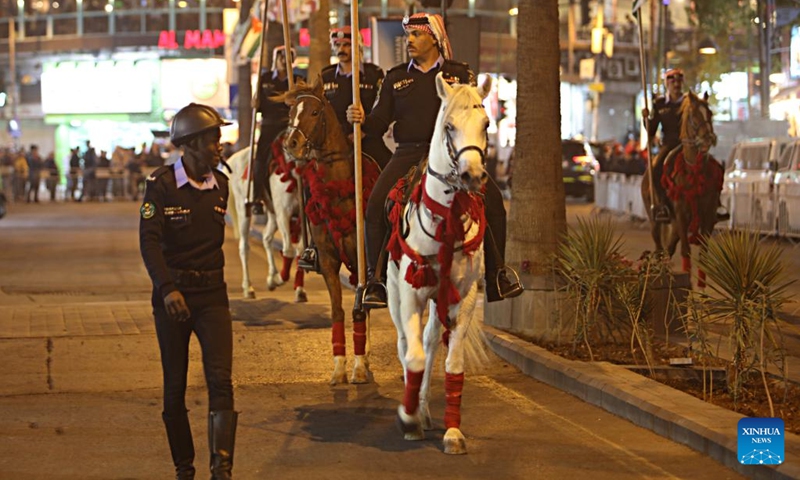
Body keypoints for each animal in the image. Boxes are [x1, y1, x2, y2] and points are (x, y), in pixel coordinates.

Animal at [228, 144, 310, 302]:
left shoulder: (306, 219)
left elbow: (301, 251)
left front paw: (299, 290)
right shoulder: (284, 212)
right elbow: (289, 250)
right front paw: (279, 279)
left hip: (272, 213)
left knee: (266, 237)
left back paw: (271, 277)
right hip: (244, 209)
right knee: (244, 246)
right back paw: (248, 288)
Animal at [282, 79, 382, 386]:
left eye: (315, 112)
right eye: (291, 112)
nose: (291, 144)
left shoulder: (364, 259)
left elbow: (360, 307)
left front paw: (359, 367)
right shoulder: (327, 259)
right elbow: (339, 310)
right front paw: (340, 368)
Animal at [386, 73, 490, 456]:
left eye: (486, 123)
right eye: (449, 126)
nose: (473, 175)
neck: (446, 220)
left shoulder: (465, 296)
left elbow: (452, 364)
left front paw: (453, 432)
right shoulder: (410, 293)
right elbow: (412, 357)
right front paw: (407, 418)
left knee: (430, 342)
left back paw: (426, 411)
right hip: (394, 295)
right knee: (407, 345)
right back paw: (414, 411)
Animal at [640, 91, 720, 286]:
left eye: (710, 113)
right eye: (692, 116)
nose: (708, 139)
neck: (694, 171)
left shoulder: (708, 216)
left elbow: (703, 255)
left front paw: (701, 291)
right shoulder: (682, 215)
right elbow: (686, 251)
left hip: (675, 225)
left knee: (668, 249)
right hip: (656, 219)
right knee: (659, 247)